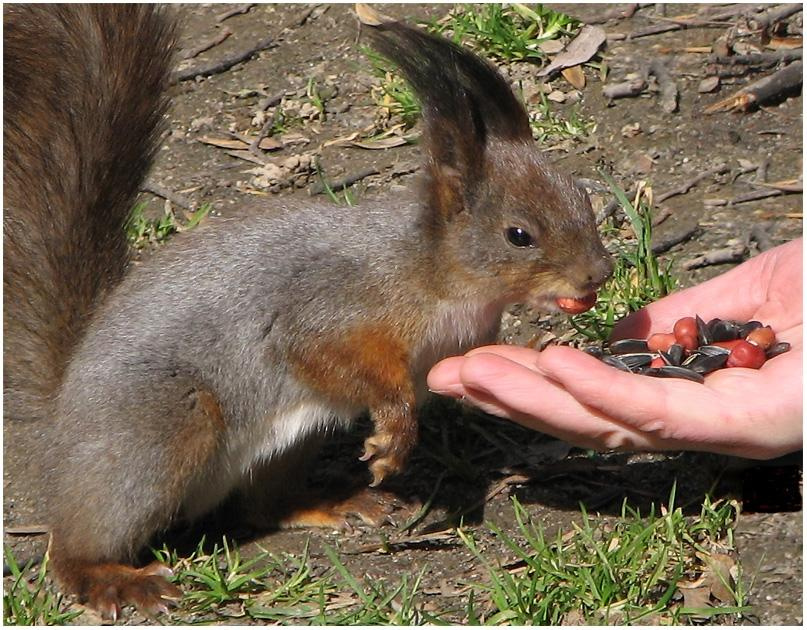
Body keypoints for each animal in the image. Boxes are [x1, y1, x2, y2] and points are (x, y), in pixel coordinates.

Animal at [4, 4, 613, 620]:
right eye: (519, 235)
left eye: (582, 198)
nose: (598, 275)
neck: (440, 279)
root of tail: (63, 408)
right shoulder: (326, 308)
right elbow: (330, 359)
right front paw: (396, 432)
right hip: (158, 434)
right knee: (76, 546)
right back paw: (111, 578)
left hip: (287, 446)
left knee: (262, 507)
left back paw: (330, 505)